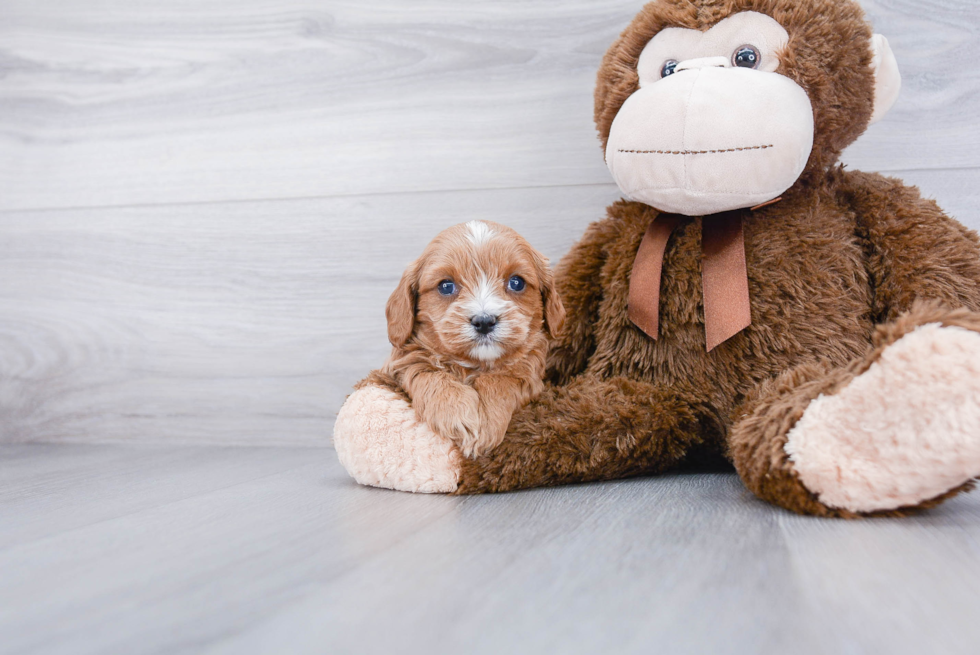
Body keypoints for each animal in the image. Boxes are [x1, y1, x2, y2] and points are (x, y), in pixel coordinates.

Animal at [382, 220, 568, 456]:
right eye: (446, 286)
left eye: (516, 282)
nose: (484, 321)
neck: (474, 364)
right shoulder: (403, 362)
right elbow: (430, 373)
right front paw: (455, 414)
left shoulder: (529, 372)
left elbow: (501, 380)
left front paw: (488, 423)